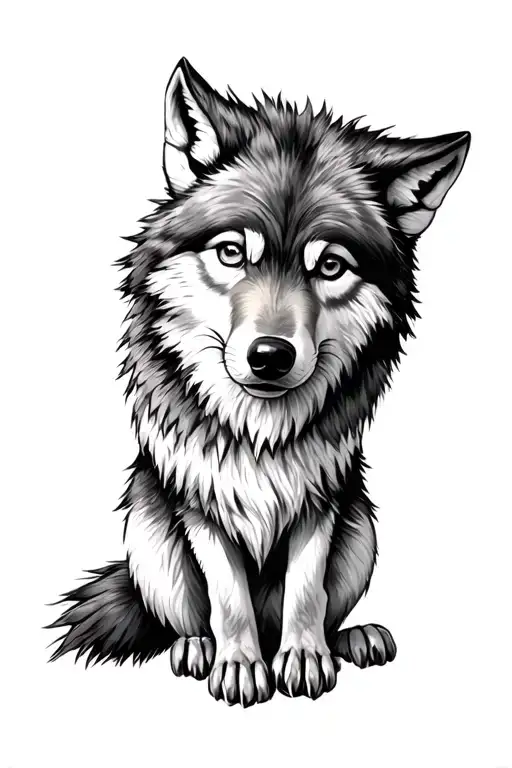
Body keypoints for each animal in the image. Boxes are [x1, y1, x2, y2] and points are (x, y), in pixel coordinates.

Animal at [48, 58, 470, 707]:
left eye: (330, 266)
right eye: (231, 253)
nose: (270, 356)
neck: (260, 431)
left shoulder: (322, 500)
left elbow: (306, 589)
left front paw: (305, 656)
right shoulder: (201, 504)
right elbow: (227, 596)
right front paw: (241, 665)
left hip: (362, 530)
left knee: (328, 607)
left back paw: (354, 639)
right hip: (148, 533)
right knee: (186, 615)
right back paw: (196, 648)